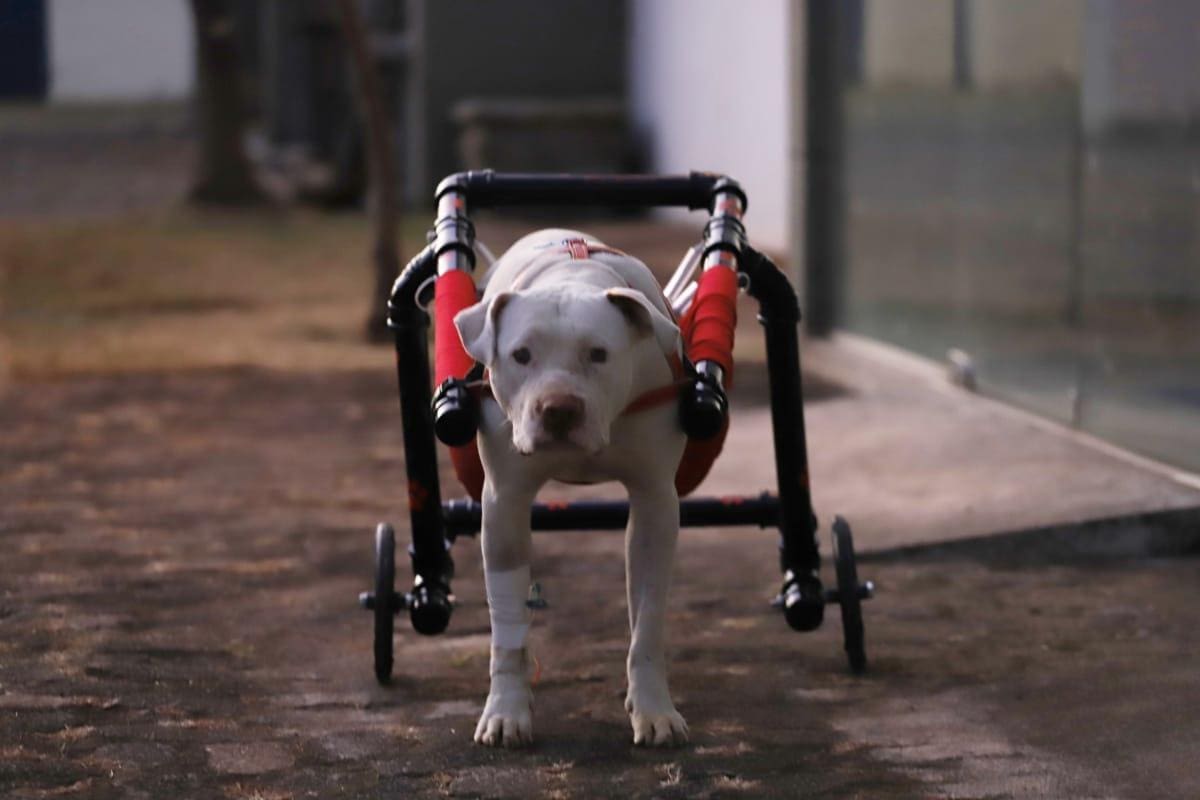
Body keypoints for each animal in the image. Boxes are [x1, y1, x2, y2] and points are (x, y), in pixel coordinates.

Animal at [451, 227, 696, 748]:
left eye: (598, 354)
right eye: (521, 355)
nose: (559, 409)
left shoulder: (654, 503)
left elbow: (647, 626)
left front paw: (654, 710)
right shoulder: (504, 503)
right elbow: (506, 629)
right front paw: (506, 711)